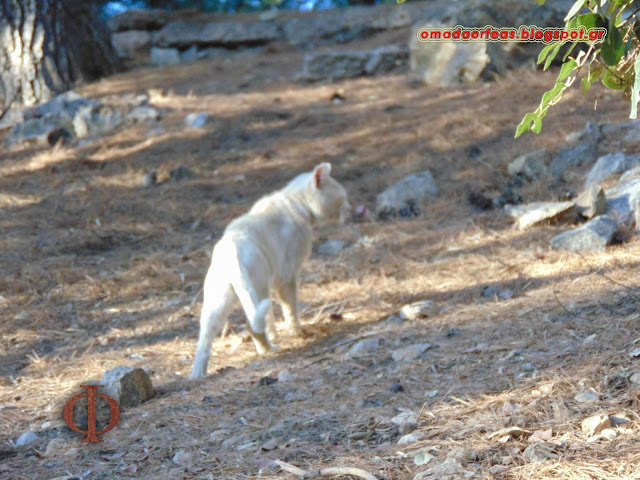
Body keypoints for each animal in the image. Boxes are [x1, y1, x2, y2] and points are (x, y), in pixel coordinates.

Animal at [191, 163, 350, 376]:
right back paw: (268, 350)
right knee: (252, 324)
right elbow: (290, 307)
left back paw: (197, 374)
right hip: (257, 287)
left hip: (219, 299)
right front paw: (296, 331)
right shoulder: (287, 275)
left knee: (205, 337)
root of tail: (233, 248)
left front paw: (275, 334)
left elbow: (272, 317)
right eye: (343, 197)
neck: (295, 202)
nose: (349, 208)